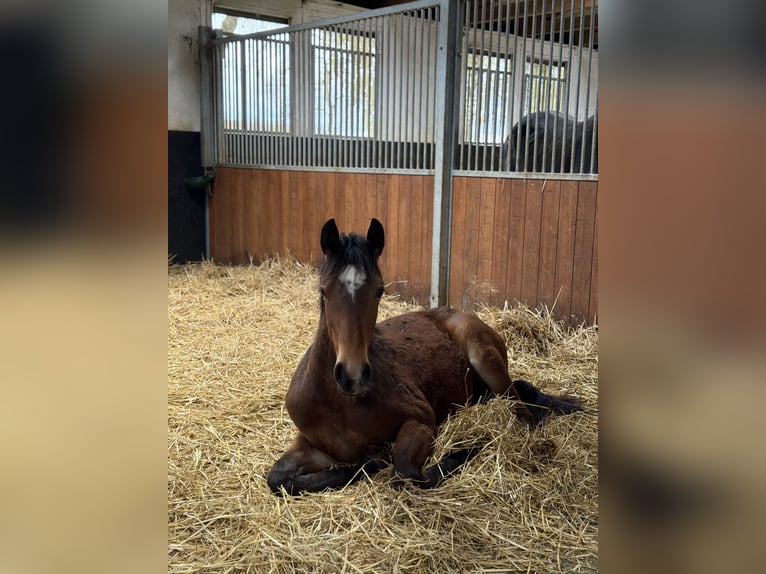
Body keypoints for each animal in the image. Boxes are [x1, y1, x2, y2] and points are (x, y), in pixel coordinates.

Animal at [267, 218, 582, 495]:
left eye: (379, 290)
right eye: (324, 290)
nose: (352, 375)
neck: (340, 404)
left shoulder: (420, 420)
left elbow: (405, 472)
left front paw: (465, 450)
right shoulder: (311, 444)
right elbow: (278, 478)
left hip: (485, 359)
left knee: (524, 417)